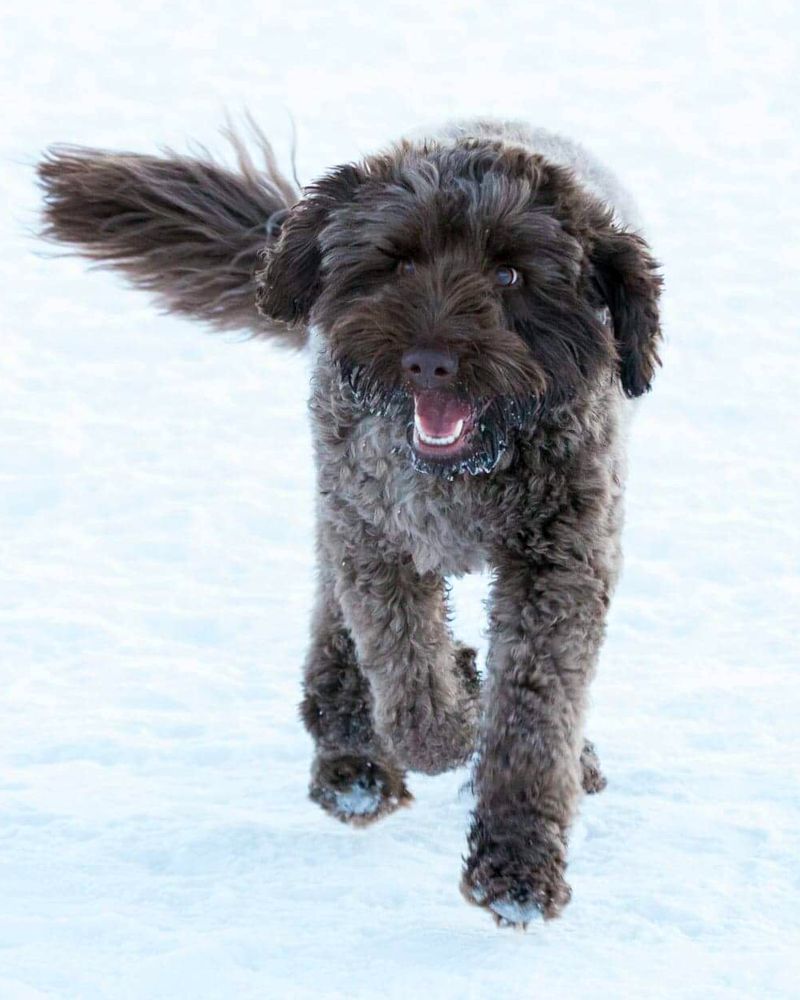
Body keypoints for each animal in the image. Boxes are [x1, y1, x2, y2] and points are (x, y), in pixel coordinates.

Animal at [37, 119, 664, 928]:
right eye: (398, 261)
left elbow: (532, 720)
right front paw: (455, 717)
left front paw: (517, 867)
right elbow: (415, 697)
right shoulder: (380, 536)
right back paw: (354, 757)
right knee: (338, 627)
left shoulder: (563, 564)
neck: (466, 475)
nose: (430, 362)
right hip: (342, 500)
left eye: (511, 275)